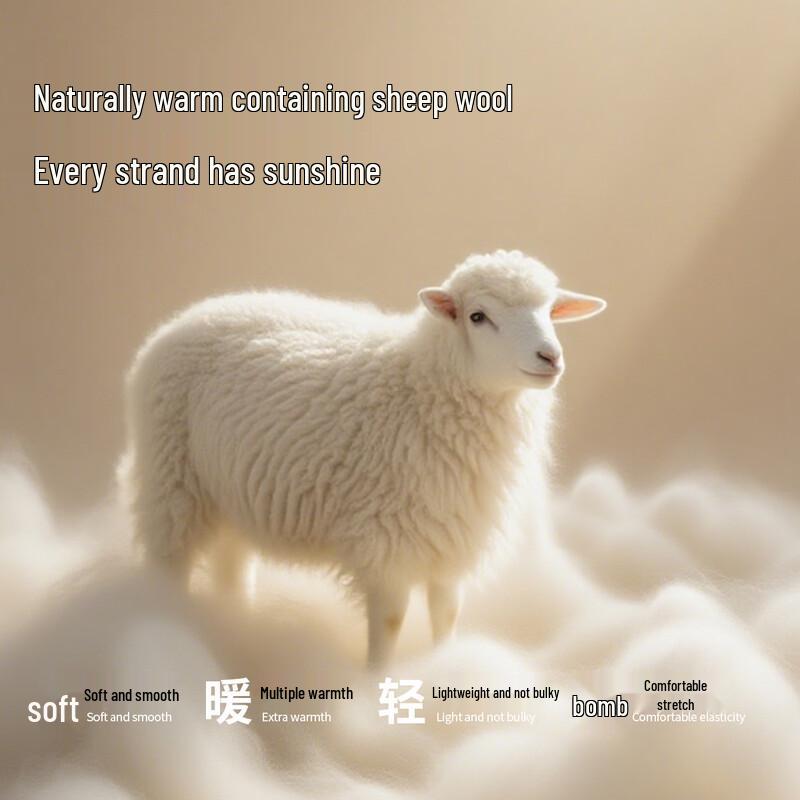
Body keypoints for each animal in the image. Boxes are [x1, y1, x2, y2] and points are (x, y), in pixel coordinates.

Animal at [119, 250, 606, 666]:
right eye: (478, 316)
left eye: (550, 311)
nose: (550, 357)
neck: (422, 384)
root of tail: (185, 318)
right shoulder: (386, 542)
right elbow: (388, 626)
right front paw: (376, 687)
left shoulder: (451, 540)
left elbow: (446, 616)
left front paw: (445, 670)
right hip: (172, 483)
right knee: (167, 567)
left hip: (230, 495)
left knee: (232, 572)